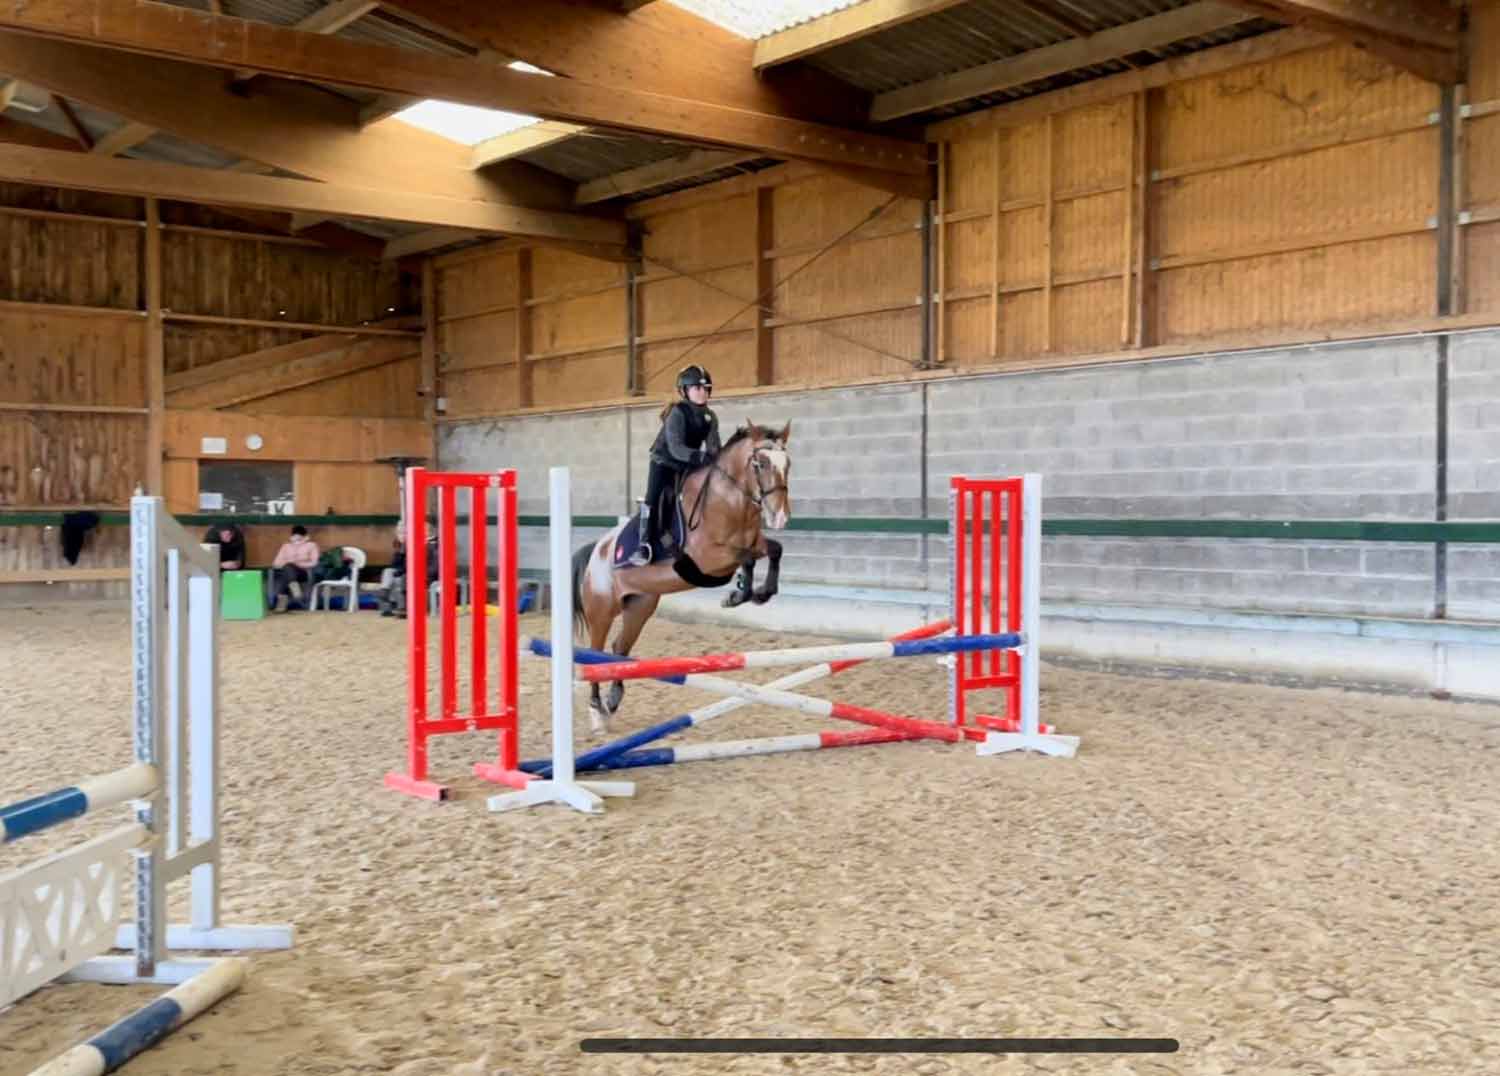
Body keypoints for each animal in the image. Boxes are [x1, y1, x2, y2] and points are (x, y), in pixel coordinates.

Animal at [567, 420, 792, 729]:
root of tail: (596, 552)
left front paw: (758, 593)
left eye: (788, 464)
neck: (729, 502)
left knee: (618, 647)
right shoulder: (706, 559)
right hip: (601, 610)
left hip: (640, 607)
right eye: (760, 463)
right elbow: (745, 558)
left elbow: (774, 550)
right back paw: (596, 711)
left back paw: (613, 699)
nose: (780, 517)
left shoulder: (754, 545)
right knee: (595, 653)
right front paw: (738, 595)